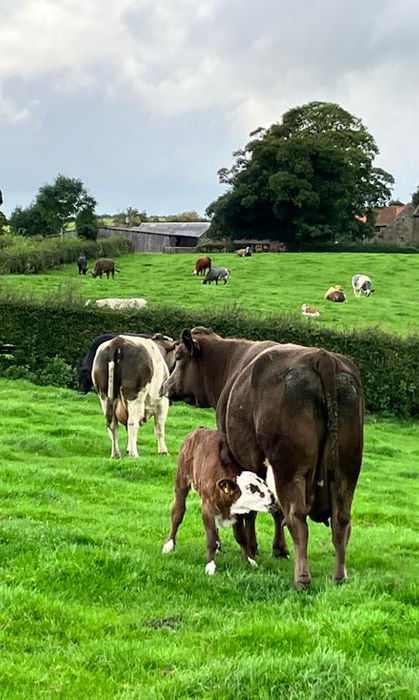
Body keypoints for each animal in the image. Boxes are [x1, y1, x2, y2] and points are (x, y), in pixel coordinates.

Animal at [162, 427, 277, 575]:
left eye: (263, 482)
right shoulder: (207, 508)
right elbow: (211, 538)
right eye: (251, 488)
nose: (273, 498)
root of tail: (199, 429)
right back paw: (169, 544)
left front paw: (250, 560)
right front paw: (210, 565)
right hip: (181, 479)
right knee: (177, 512)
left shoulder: (237, 513)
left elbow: (241, 537)